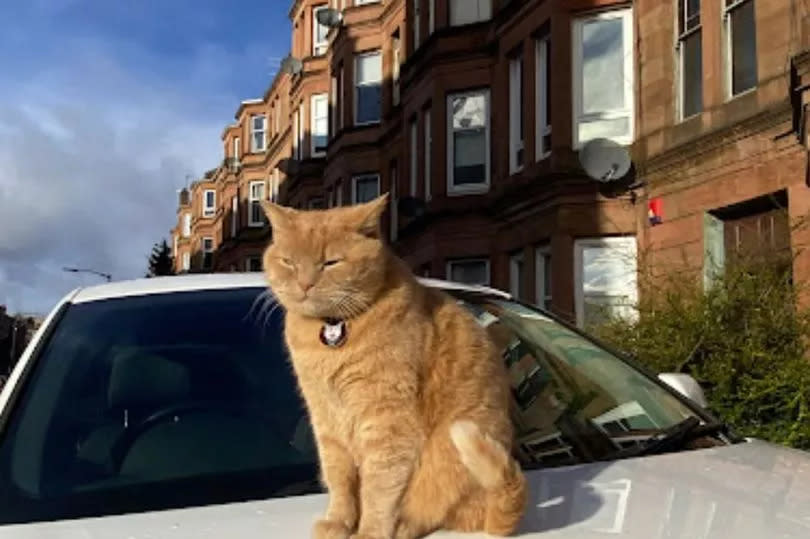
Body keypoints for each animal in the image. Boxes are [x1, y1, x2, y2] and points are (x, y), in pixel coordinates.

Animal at [258, 195, 524, 539]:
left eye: (330, 263)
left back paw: (404, 526)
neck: (334, 330)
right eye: (289, 262)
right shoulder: (326, 419)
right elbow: (340, 479)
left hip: (446, 454)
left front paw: (369, 531)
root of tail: (492, 518)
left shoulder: (386, 421)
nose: (304, 284)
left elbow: (379, 487)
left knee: (430, 511)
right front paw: (339, 521)